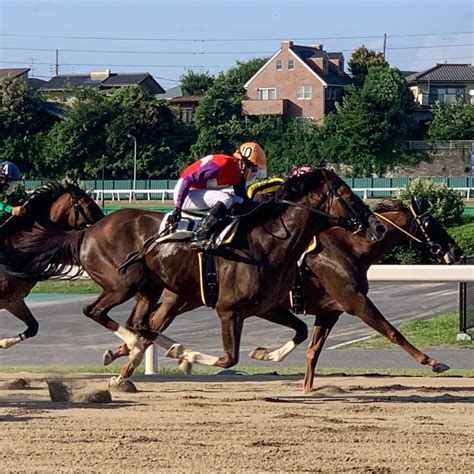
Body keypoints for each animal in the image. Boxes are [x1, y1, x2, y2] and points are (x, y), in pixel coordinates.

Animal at [0, 183, 103, 350]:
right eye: (89, 205)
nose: (104, 224)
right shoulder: (7, 299)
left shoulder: (12, 299)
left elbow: (33, 327)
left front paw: (3, 342)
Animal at [302, 196, 462, 392]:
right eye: (430, 223)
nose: (457, 252)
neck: (349, 247)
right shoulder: (356, 301)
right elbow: (393, 332)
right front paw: (433, 362)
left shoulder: (330, 311)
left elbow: (313, 351)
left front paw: (307, 390)